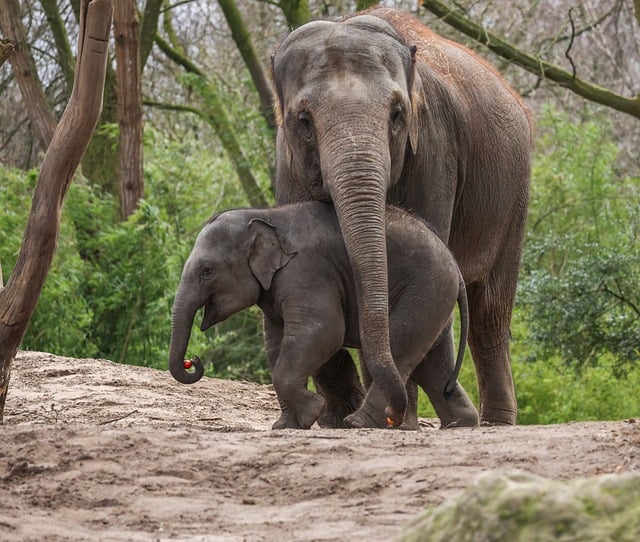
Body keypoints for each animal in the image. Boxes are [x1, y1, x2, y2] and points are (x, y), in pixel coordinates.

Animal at [168, 202, 478, 432]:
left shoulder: (306, 271)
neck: (264, 216)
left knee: (401, 346)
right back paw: (461, 423)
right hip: (434, 298)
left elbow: (324, 330)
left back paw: (358, 423)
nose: (193, 360)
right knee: (431, 361)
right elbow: (277, 341)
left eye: (207, 271)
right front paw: (285, 425)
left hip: (425, 288)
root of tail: (454, 264)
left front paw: (310, 413)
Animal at [272, 6, 532, 428]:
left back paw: (496, 422)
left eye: (397, 114)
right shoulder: (287, 164)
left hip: (514, 197)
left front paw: (395, 422)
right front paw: (339, 418)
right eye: (304, 121)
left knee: (490, 310)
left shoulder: (433, 151)